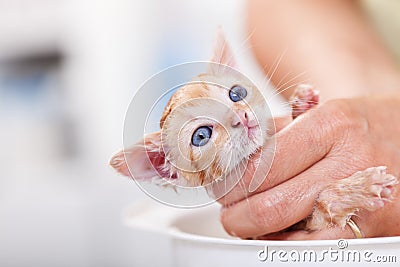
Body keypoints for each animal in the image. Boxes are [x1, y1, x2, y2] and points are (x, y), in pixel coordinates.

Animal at [109, 30, 396, 233]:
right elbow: (324, 209)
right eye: (201, 136)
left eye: (237, 94)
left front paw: (302, 104)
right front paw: (357, 190)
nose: (241, 117)